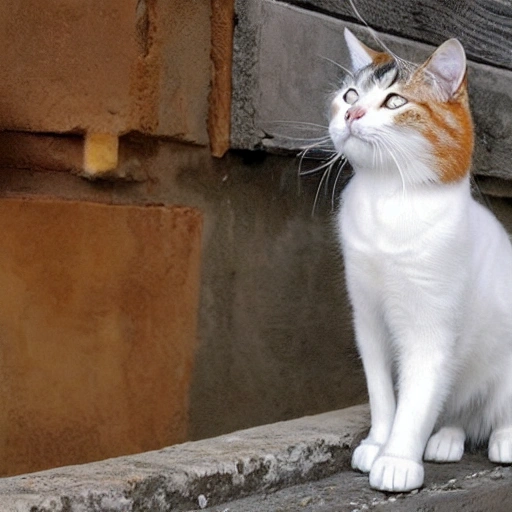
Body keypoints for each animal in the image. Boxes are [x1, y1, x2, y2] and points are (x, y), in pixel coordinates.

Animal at [328, 29, 512, 492]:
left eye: (395, 101)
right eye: (351, 94)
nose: (352, 112)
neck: (388, 198)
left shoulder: (432, 326)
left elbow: (417, 398)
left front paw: (396, 459)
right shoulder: (368, 318)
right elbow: (382, 392)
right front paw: (378, 443)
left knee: (499, 410)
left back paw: (505, 439)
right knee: (462, 415)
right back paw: (446, 439)